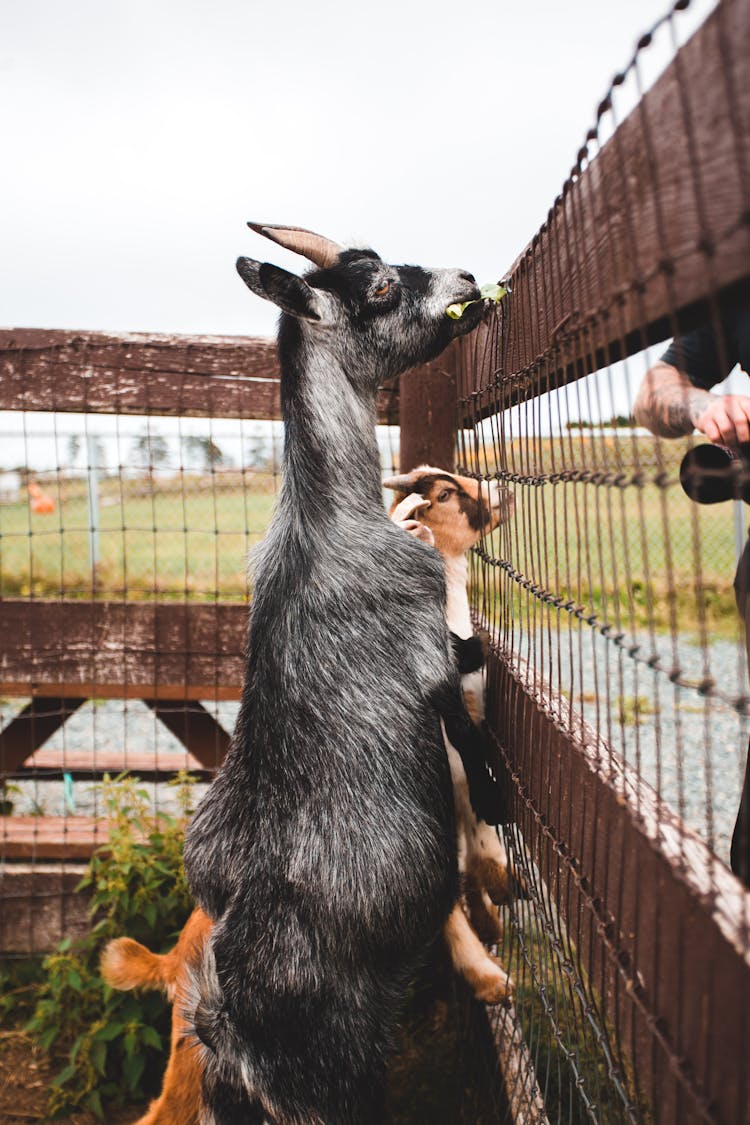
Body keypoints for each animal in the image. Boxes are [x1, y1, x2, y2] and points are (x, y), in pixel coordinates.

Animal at [182, 226, 501, 1125]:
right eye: (383, 287)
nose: (469, 276)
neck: (328, 516)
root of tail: (233, 1035)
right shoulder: (430, 646)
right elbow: (468, 706)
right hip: (342, 1070)